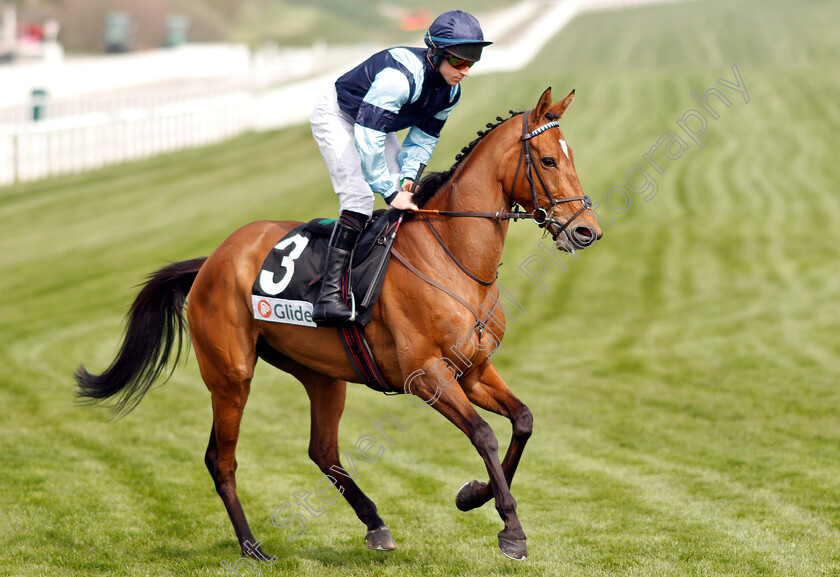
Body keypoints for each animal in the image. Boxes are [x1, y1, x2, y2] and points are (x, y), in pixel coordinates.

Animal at [75, 88, 600, 560]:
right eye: (548, 161)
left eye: (570, 157)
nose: (586, 230)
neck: (451, 256)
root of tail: (211, 260)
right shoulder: (426, 376)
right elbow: (485, 434)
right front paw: (511, 530)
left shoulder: (472, 370)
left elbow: (522, 421)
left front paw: (474, 495)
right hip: (231, 375)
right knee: (221, 459)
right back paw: (252, 547)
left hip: (321, 374)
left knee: (321, 450)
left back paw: (375, 525)